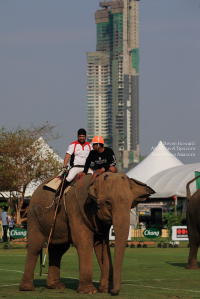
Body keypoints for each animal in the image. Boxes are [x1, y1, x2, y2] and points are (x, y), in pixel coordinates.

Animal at [19, 173, 155, 296]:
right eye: (108, 203)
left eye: (130, 203)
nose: (113, 292)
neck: (95, 179)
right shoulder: (76, 209)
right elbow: (83, 242)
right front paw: (89, 291)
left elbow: (102, 246)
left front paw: (104, 290)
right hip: (34, 216)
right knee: (35, 247)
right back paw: (27, 288)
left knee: (58, 250)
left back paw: (55, 286)